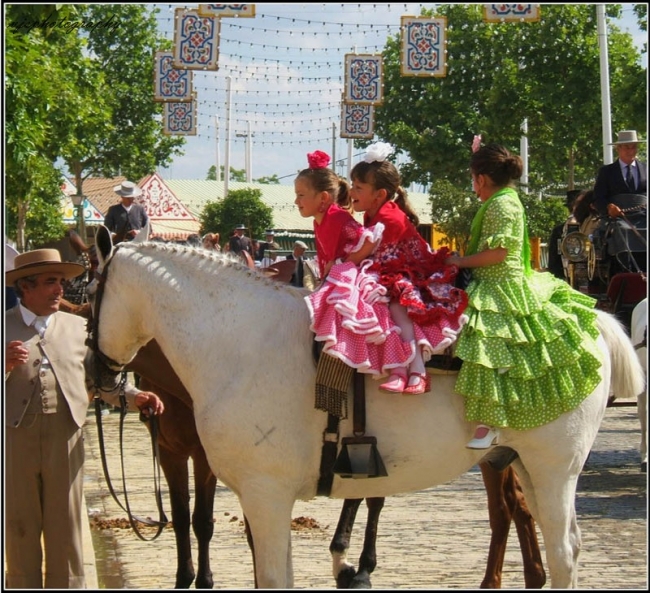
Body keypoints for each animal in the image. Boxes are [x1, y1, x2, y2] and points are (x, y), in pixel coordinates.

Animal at [91, 232, 644, 588]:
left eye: (89, 293)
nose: (100, 380)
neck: (239, 340)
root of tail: (592, 319)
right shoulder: (261, 497)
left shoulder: (265, 495)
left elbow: (269, 575)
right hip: (521, 464)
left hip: (555, 470)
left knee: (563, 552)